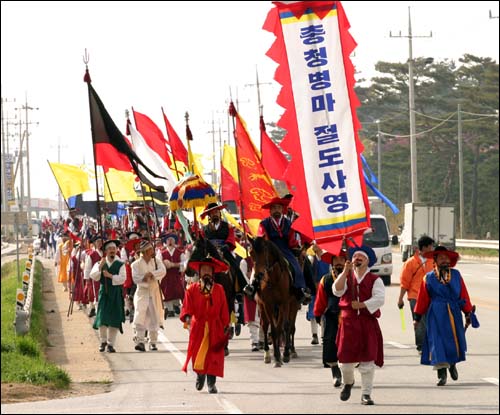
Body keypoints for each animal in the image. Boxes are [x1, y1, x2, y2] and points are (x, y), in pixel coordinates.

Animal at [248, 237, 298, 368]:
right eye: (251, 253)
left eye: (264, 252)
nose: (258, 276)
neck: (273, 279)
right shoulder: (267, 304)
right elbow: (274, 330)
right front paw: (276, 357)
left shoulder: (284, 303)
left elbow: (284, 327)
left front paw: (285, 354)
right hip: (261, 306)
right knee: (265, 326)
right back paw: (267, 354)